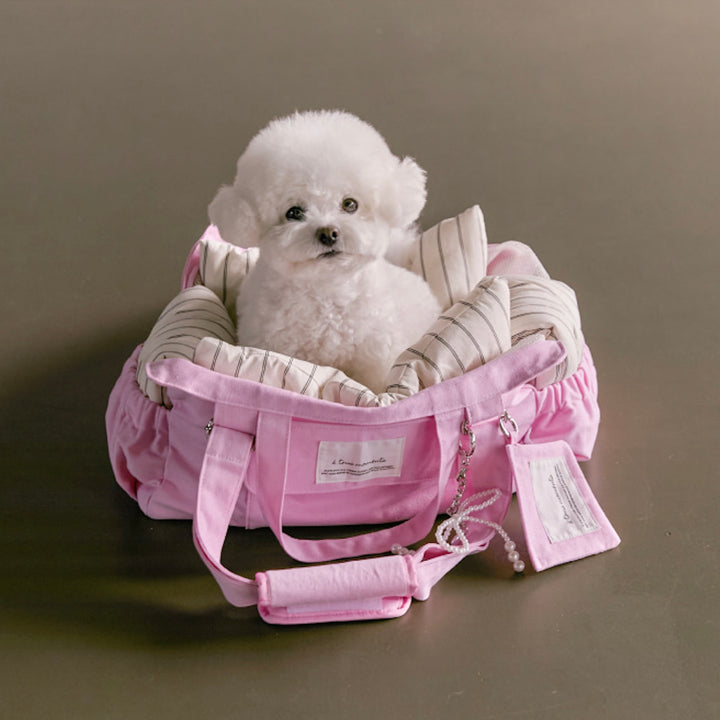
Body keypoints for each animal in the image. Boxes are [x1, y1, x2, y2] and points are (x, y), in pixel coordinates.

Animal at [208, 110, 440, 393]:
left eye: (350, 204)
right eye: (294, 212)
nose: (328, 233)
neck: (327, 292)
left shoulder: (375, 361)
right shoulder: (274, 346)